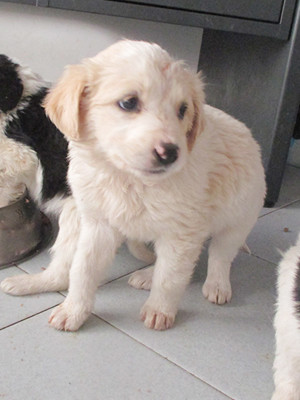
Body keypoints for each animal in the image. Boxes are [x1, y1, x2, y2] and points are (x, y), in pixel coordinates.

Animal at [1, 40, 266, 332]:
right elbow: (82, 271)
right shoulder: (98, 224)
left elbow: (170, 278)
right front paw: (73, 311)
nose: (170, 153)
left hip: (239, 218)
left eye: (183, 110)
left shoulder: (182, 232)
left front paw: (159, 310)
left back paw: (216, 285)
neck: (129, 179)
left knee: (219, 255)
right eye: (128, 103)